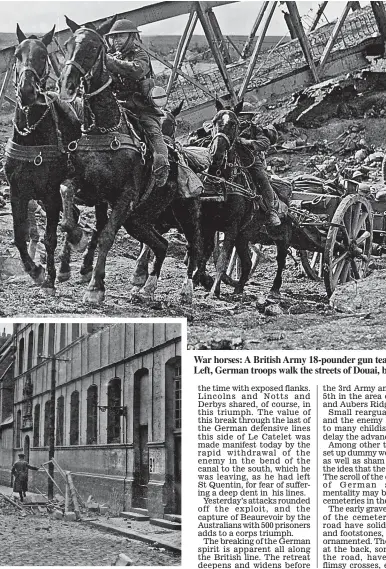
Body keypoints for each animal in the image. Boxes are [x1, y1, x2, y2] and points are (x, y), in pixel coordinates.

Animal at [3, 23, 82, 290]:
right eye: (17, 55)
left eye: (43, 55)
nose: (27, 90)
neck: (32, 136)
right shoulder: (18, 192)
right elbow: (19, 236)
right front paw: (34, 270)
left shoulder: (50, 193)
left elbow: (50, 237)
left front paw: (48, 277)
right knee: (73, 217)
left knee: (71, 219)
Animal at [59, 15, 202, 304]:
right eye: (67, 45)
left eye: (94, 47)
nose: (67, 84)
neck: (103, 129)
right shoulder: (87, 189)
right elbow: (68, 198)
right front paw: (76, 241)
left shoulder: (124, 198)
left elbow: (106, 236)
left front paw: (95, 288)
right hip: (140, 219)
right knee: (161, 244)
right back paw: (146, 287)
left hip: (186, 214)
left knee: (193, 248)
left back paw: (185, 290)